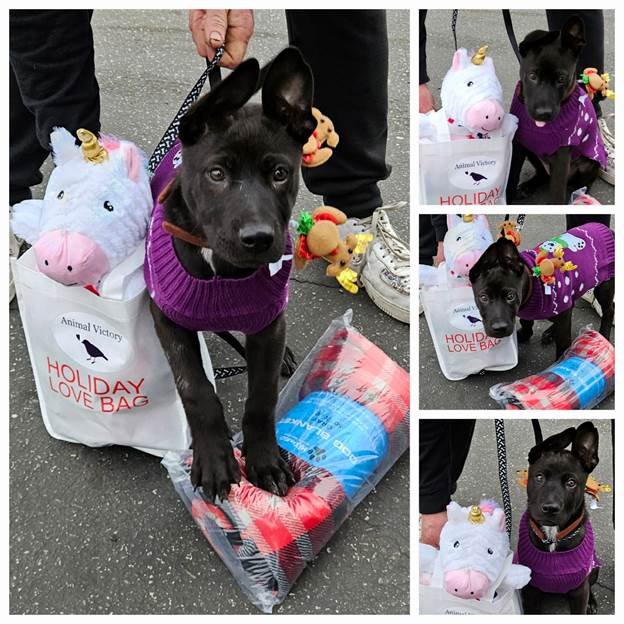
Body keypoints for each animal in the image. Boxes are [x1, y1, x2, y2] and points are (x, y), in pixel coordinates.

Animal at [146, 48, 316, 502]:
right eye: (217, 174)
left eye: (280, 174)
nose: (258, 239)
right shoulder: (166, 318)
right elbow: (196, 388)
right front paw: (215, 459)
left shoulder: (269, 325)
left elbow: (262, 396)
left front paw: (265, 459)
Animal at [468, 223, 614, 359]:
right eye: (483, 297)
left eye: (510, 296)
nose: (500, 328)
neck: (533, 285)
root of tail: (605, 228)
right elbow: (526, 321)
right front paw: (525, 334)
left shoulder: (562, 311)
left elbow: (562, 344)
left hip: (603, 287)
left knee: (609, 310)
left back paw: (604, 336)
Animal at [506, 16, 607, 204]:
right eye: (532, 76)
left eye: (561, 79)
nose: (543, 114)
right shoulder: (518, 144)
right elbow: (510, 177)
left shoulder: (562, 156)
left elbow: (557, 195)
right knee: (542, 175)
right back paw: (528, 186)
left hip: (589, 163)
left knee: (584, 184)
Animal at [516, 422, 601, 614]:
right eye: (539, 477)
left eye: (571, 483)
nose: (550, 508)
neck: (552, 536)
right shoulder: (531, 590)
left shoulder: (579, 591)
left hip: (593, 571)